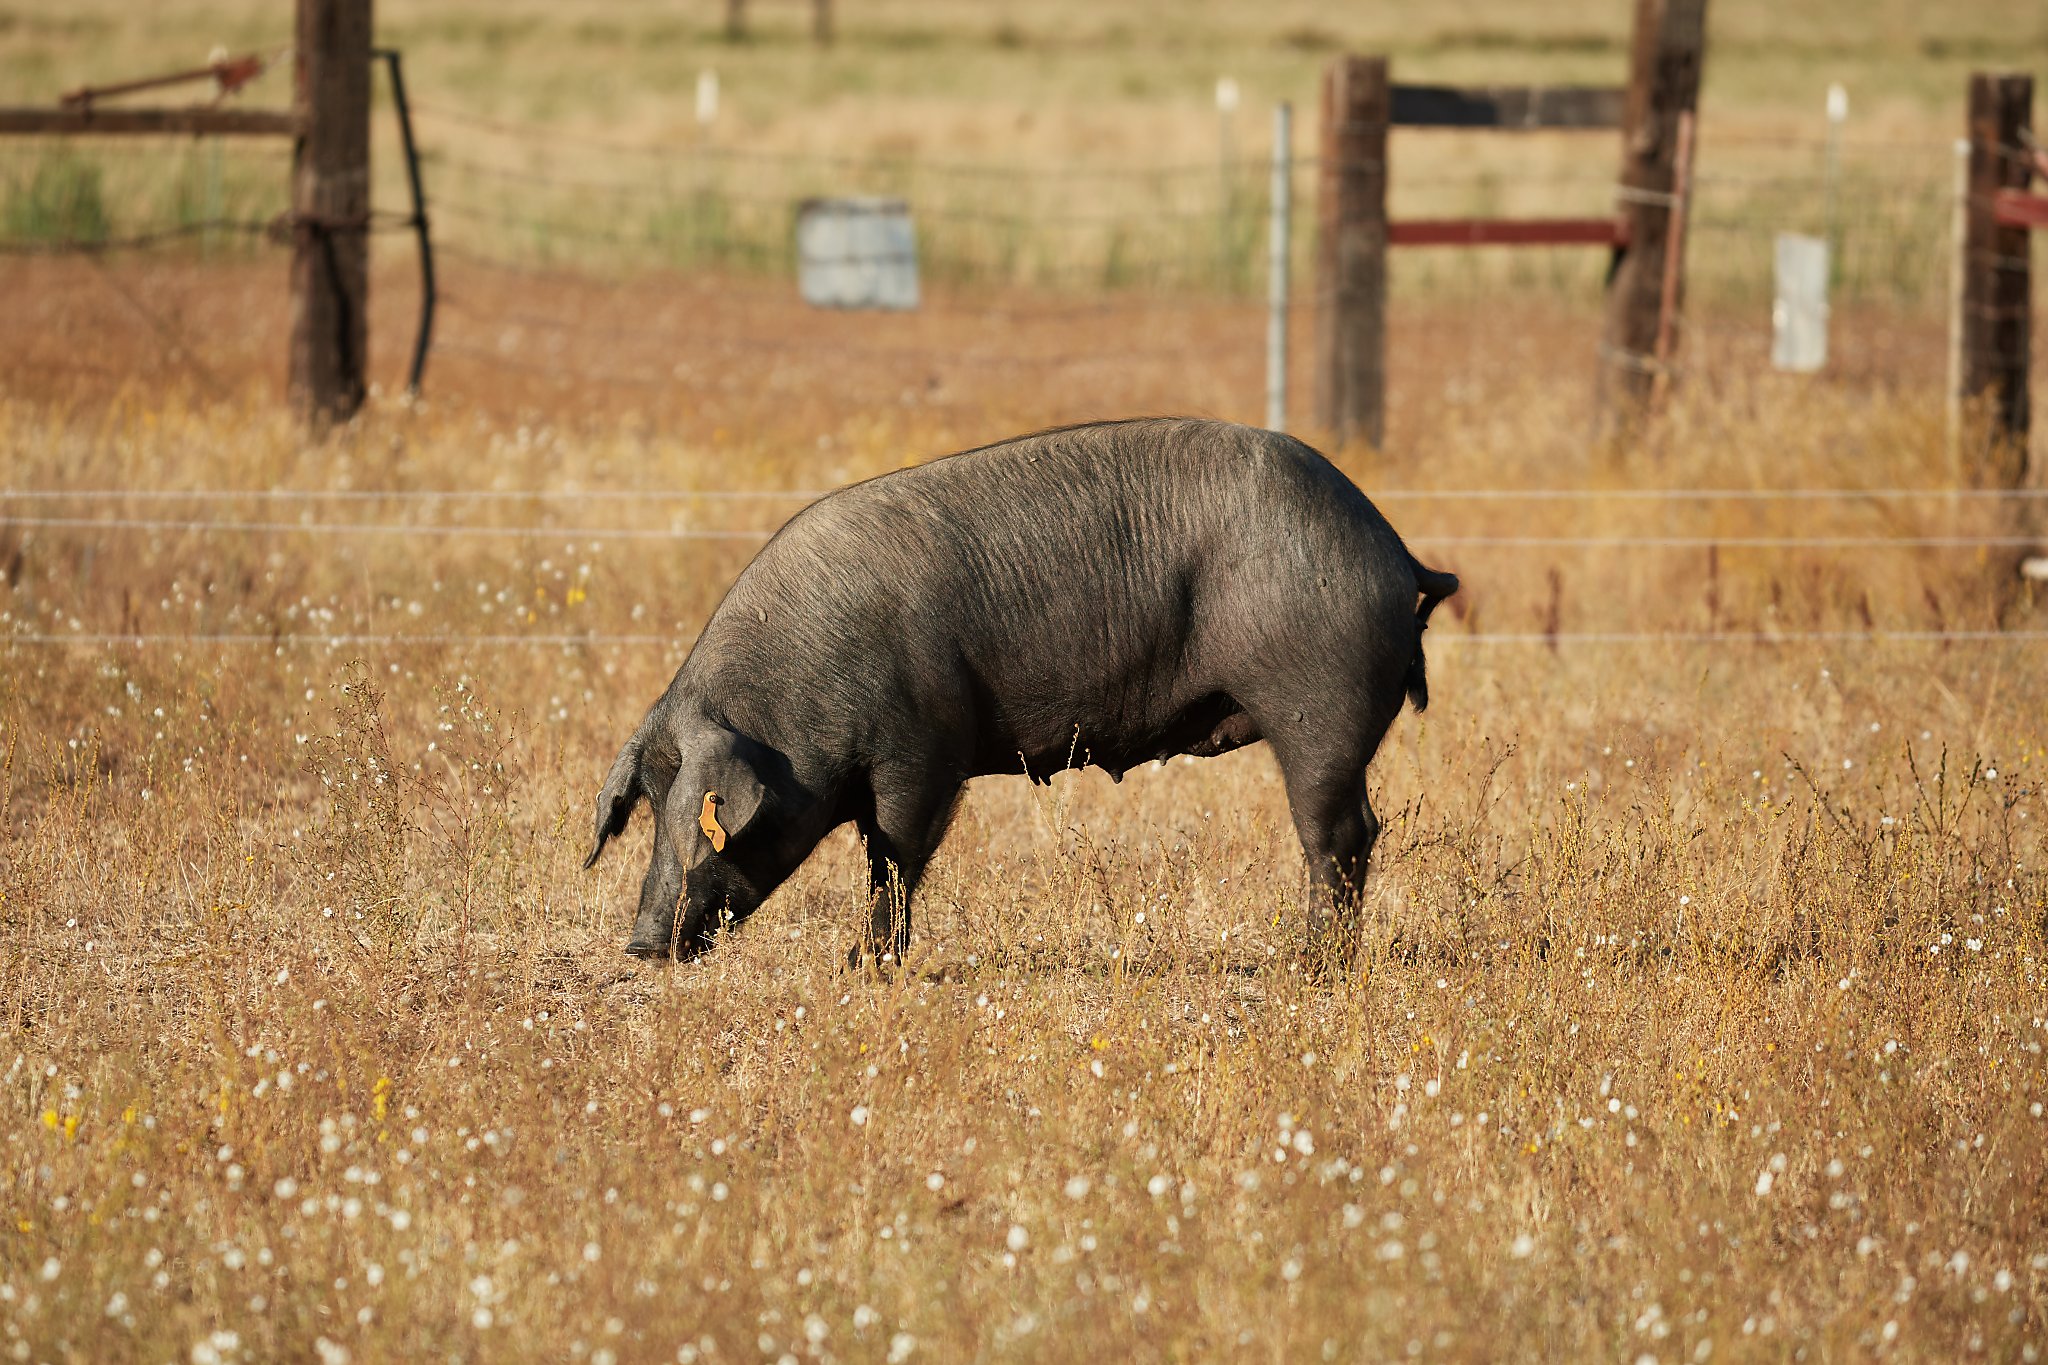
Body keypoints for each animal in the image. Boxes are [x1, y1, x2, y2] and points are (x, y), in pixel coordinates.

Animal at [585, 417, 1458, 965]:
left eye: (698, 815)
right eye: (646, 804)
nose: (641, 943)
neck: (792, 701)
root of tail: (1396, 554)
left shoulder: (922, 750)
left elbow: (894, 856)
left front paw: (863, 963)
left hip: (1318, 702)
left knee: (1338, 832)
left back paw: (1309, 962)